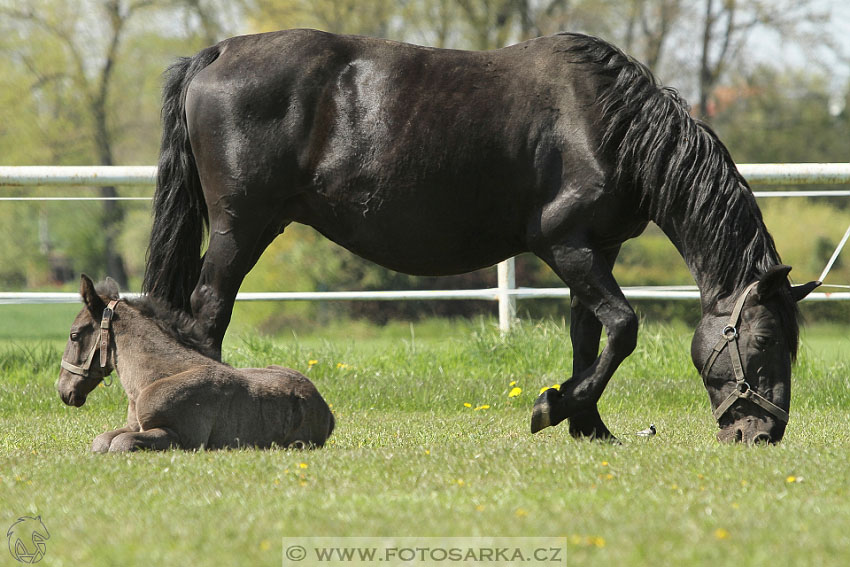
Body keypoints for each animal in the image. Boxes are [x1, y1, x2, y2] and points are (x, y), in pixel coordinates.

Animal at [56, 276, 332, 452]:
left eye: (74, 335)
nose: (63, 389)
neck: (152, 379)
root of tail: (327, 411)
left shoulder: (182, 436)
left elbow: (119, 444)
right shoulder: (133, 426)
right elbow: (101, 441)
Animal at [142, 30, 820, 444]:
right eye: (762, 342)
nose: (761, 435)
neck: (609, 125)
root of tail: (216, 53)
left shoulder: (594, 253)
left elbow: (589, 337)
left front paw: (587, 423)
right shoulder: (566, 247)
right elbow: (624, 328)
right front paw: (553, 408)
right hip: (241, 228)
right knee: (209, 311)